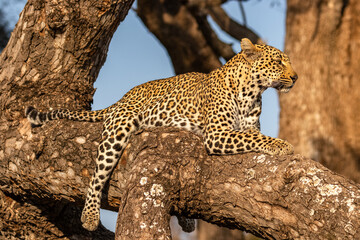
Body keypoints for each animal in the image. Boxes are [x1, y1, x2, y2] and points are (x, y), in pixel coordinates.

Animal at [25, 38, 298, 232]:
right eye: (278, 62)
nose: (295, 77)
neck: (252, 92)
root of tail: (122, 98)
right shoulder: (216, 133)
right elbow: (254, 139)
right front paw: (281, 145)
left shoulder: (246, 127)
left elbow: (252, 134)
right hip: (119, 128)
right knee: (97, 175)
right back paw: (90, 215)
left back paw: (186, 221)